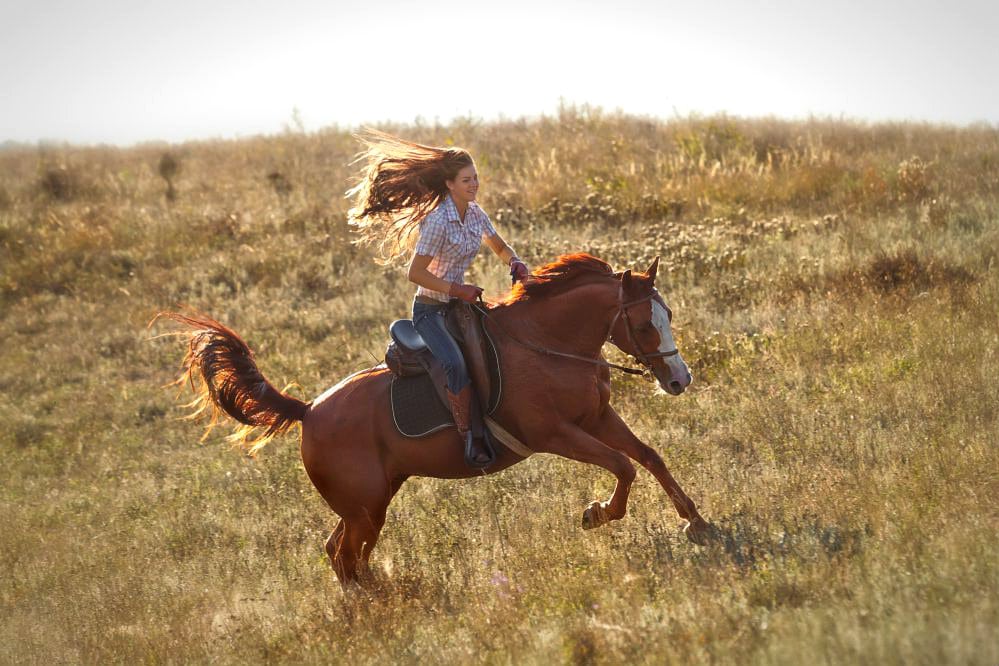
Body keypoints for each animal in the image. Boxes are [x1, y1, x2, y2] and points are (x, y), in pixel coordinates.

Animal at [160, 252, 716, 584]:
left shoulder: (598, 417)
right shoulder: (556, 434)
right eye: (644, 324)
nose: (679, 379)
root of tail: (309, 411)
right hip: (366, 507)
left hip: (371, 502)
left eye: (667, 314)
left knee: (341, 553)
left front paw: (697, 522)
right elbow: (622, 468)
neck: (548, 344)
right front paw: (596, 513)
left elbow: (649, 457)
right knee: (345, 556)